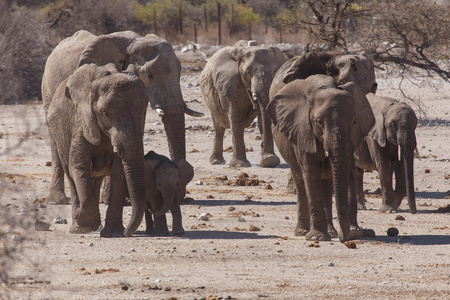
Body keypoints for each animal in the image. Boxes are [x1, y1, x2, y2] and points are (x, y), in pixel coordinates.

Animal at [40, 30, 202, 207]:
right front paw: (112, 200)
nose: (182, 199)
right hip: (47, 91)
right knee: (55, 142)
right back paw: (57, 200)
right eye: (150, 75)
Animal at [45, 62, 149, 237]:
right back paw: (77, 228)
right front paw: (86, 223)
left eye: (143, 112)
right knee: (72, 177)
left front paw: (113, 233)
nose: (127, 232)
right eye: (105, 113)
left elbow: (119, 172)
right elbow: (79, 165)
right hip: (59, 136)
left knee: (93, 180)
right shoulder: (81, 122)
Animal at [200, 40, 288, 168]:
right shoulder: (229, 85)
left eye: (274, 71)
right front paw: (240, 165)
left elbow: (261, 118)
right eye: (247, 72)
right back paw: (217, 162)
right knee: (219, 128)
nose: (262, 145)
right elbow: (236, 120)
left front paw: (269, 160)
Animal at [268, 74, 374, 243]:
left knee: (327, 186)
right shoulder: (303, 133)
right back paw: (303, 232)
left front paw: (354, 232)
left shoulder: (353, 138)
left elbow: (349, 175)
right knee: (301, 184)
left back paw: (331, 232)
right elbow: (311, 175)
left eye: (354, 122)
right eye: (318, 122)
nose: (343, 238)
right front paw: (317, 237)